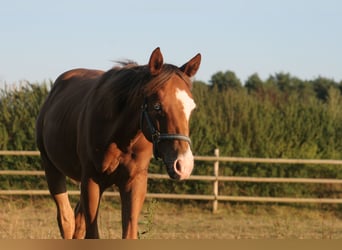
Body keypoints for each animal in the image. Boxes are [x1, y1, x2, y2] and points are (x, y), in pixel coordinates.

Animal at [35, 47, 200, 239]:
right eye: (157, 106)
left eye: (191, 107)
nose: (184, 165)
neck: (119, 136)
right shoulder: (91, 180)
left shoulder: (134, 182)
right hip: (52, 169)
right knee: (66, 220)